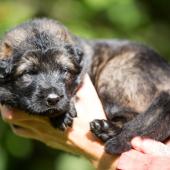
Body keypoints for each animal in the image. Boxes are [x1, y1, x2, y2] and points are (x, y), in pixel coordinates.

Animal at [0, 18, 170, 154]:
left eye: (64, 70)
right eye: (29, 73)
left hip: (115, 74)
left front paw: (63, 114)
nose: (53, 99)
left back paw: (106, 128)